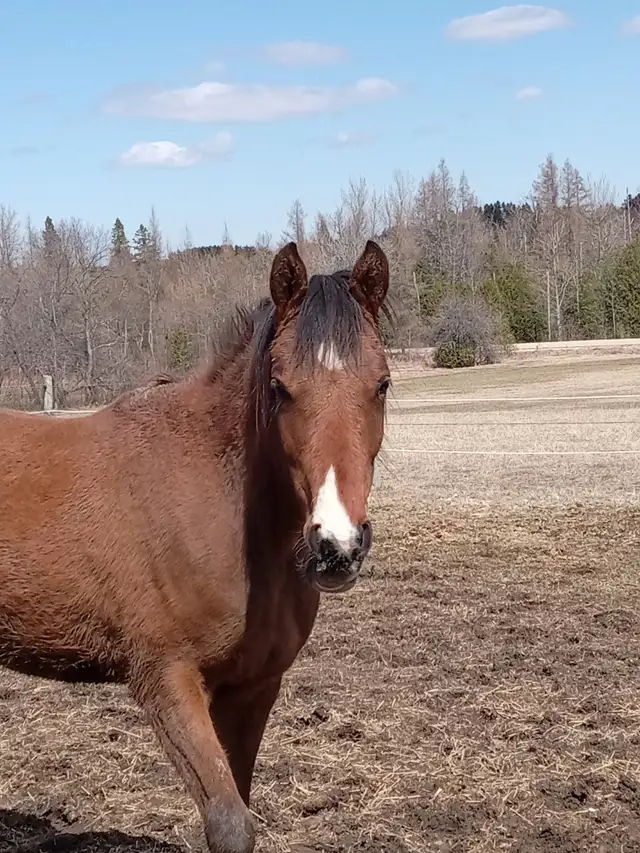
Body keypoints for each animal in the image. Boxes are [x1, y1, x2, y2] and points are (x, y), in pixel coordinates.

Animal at [0, 240, 391, 853]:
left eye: (382, 384)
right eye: (280, 388)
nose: (337, 545)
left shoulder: (253, 689)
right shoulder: (167, 681)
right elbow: (229, 822)